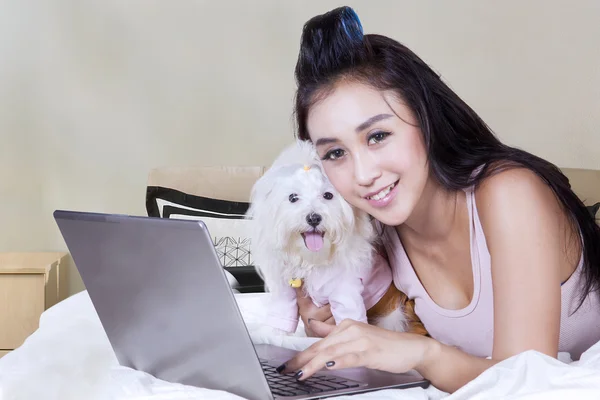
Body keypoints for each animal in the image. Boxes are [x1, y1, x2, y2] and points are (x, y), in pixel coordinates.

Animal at [245, 142, 426, 336]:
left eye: (328, 195)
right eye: (293, 197)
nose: (314, 218)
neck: (313, 260)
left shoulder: (345, 290)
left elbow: (350, 319)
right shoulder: (287, 291)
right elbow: (281, 316)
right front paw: (272, 336)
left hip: (391, 316)